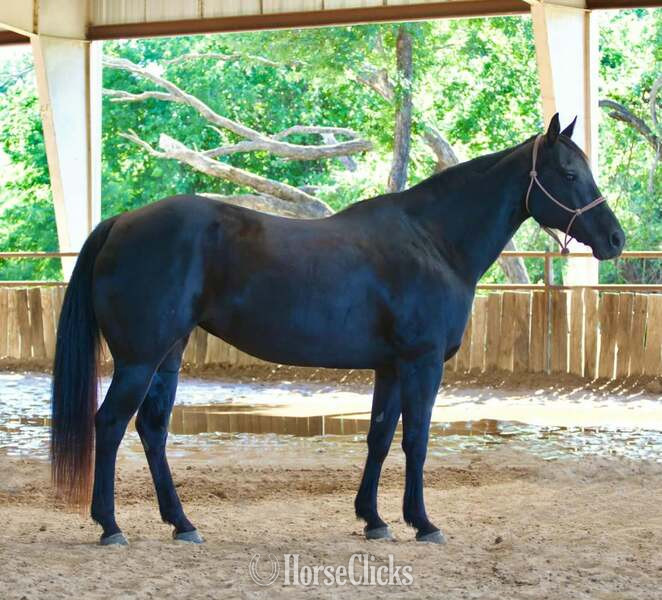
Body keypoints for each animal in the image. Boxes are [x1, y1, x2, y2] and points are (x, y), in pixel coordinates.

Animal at [51, 114, 624, 546]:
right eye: (568, 173)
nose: (615, 239)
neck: (433, 241)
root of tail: (120, 223)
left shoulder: (390, 368)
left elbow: (379, 437)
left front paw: (373, 519)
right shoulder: (421, 363)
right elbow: (416, 440)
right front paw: (423, 523)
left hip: (167, 356)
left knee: (152, 429)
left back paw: (182, 524)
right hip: (139, 360)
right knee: (110, 424)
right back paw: (110, 526)